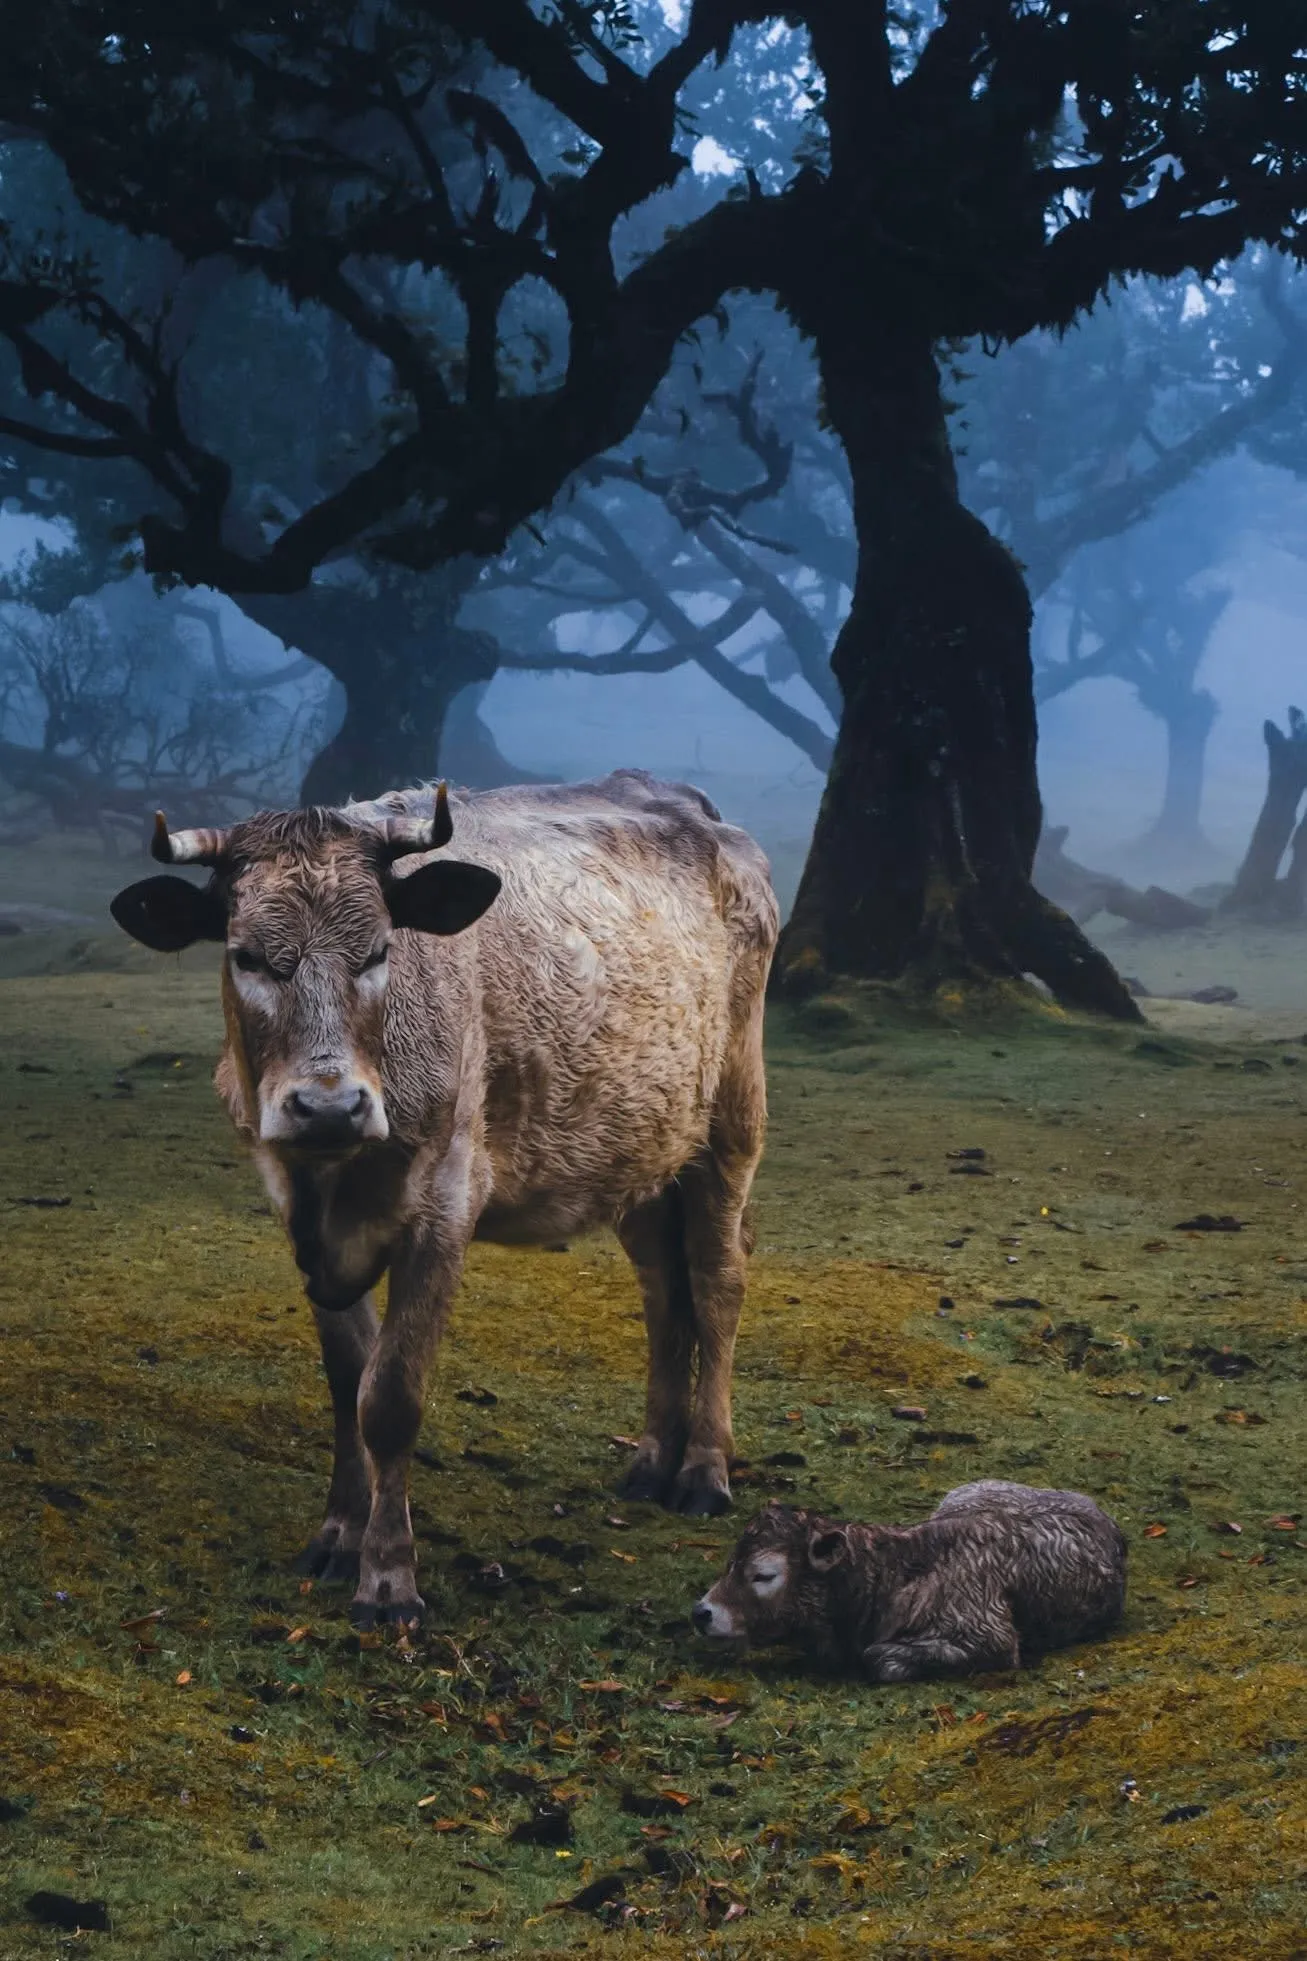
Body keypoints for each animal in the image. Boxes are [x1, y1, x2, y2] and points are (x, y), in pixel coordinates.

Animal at [110, 771, 778, 1627]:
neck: (340, 1178)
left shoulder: (444, 1203)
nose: (328, 1106)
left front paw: (388, 1577)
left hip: (733, 1116)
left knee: (718, 1280)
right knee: (665, 1289)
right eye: (246, 955)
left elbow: (390, 1395)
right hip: (639, 1151)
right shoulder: (297, 1215)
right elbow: (346, 1382)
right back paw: (652, 1459)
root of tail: (704, 814)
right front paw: (339, 1533)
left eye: (378, 951)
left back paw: (702, 1468)